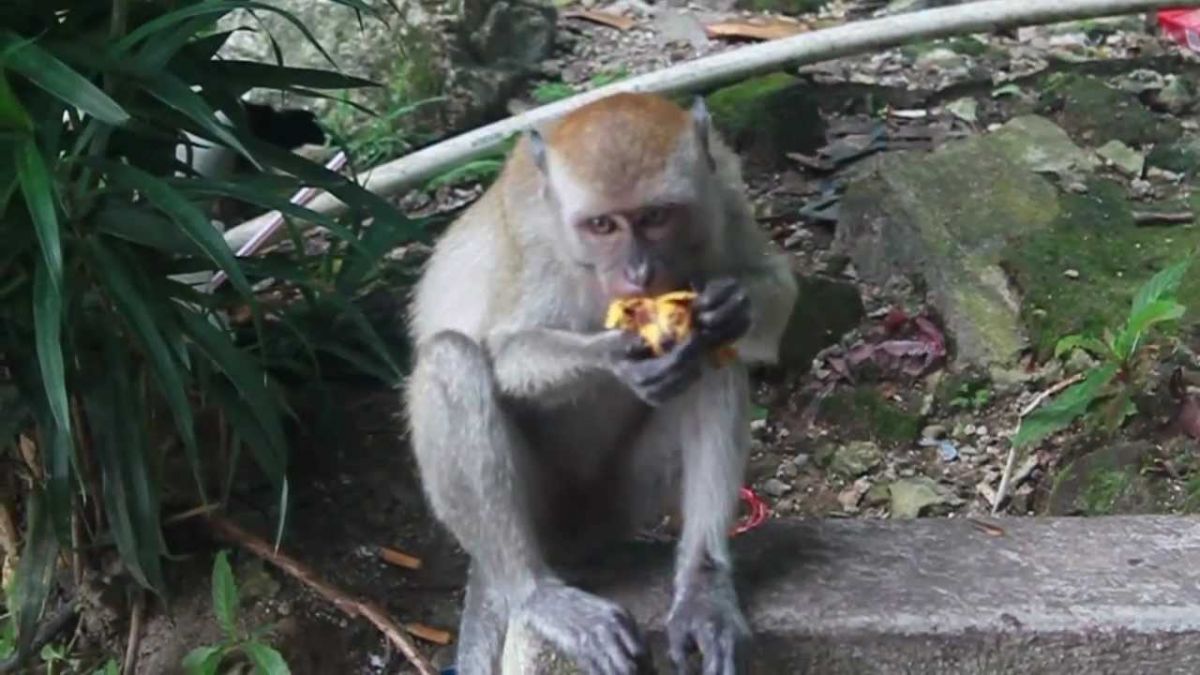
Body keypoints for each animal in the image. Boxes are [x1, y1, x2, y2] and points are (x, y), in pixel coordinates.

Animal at [403, 92, 798, 675]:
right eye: (602, 225)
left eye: (655, 217)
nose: (639, 273)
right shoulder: (532, 239)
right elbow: (502, 351)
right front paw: (615, 356)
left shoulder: (723, 187)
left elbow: (774, 292)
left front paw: (730, 308)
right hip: (545, 510)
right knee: (450, 360)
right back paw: (537, 593)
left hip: (621, 500)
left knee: (714, 362)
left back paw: (702, 584)